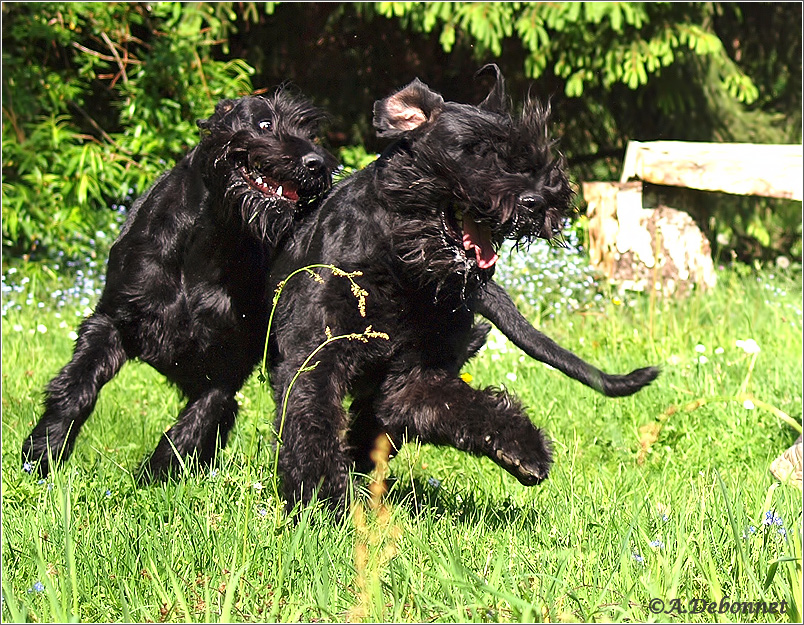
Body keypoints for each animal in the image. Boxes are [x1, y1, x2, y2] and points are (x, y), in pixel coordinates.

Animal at [22, 88, 336, 478]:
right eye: (265, 123)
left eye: (311, 133)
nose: (317, 163)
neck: (210, 242)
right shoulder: (112, 321)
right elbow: (77, 386)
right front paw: (43, 453)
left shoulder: (228, 361)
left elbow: (198, 419)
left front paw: (155, 477)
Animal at [266, 66, 656, 510]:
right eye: (475, 150)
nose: (538, 201)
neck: (403, 269)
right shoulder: (317, 357)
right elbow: (312, 420)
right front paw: (323, 499)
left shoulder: (413, 380)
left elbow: (464, 405)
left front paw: (522, 449)